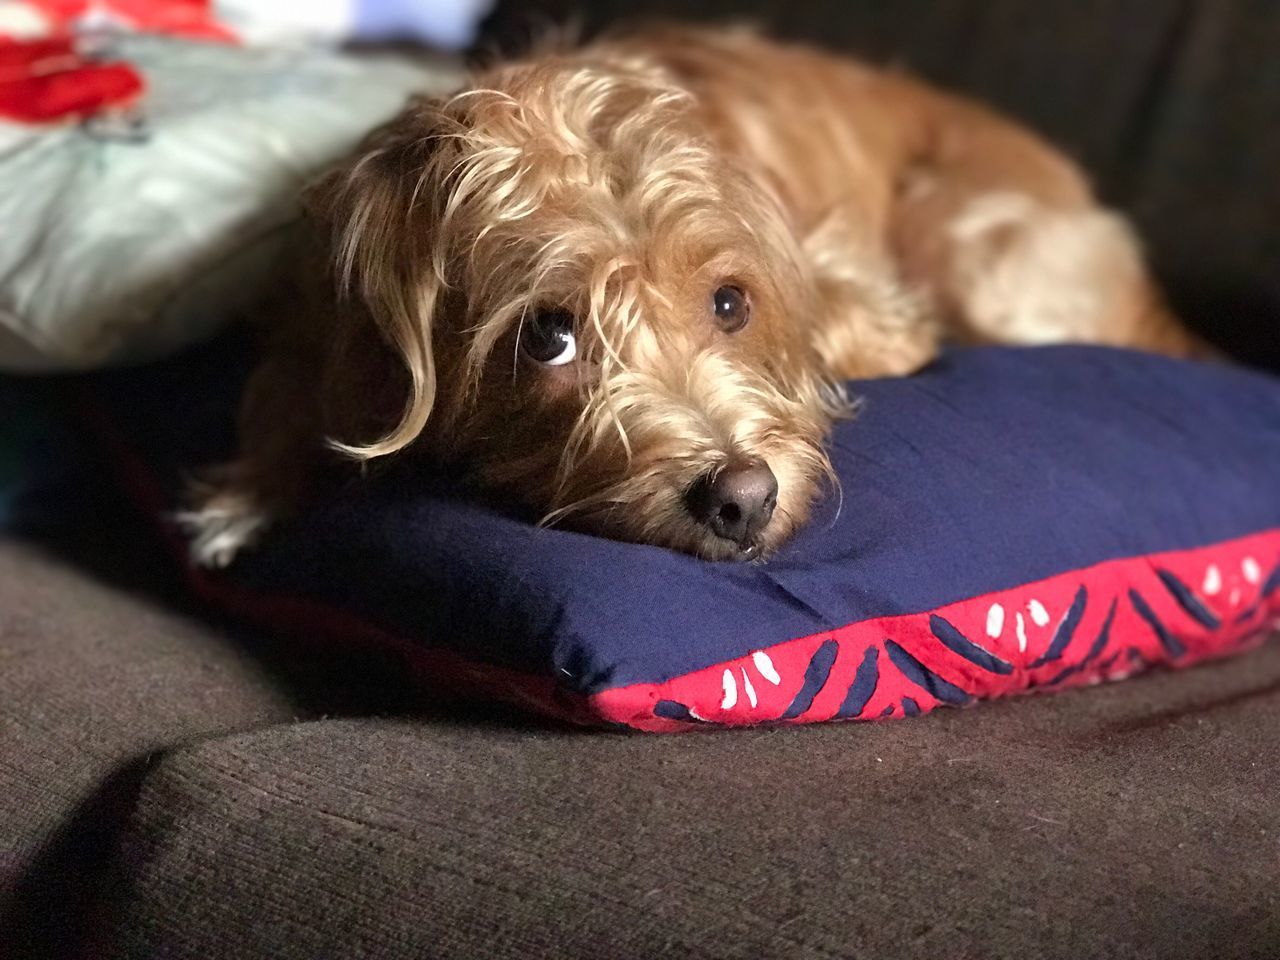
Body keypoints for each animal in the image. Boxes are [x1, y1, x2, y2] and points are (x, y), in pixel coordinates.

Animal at [183, 26, 1208, 568]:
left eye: (729, 304)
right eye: (549, 336)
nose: (744, 499)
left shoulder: (860, 295)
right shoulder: (310, 309)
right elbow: (288, 389)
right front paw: (248, 492)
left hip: (966, 243)